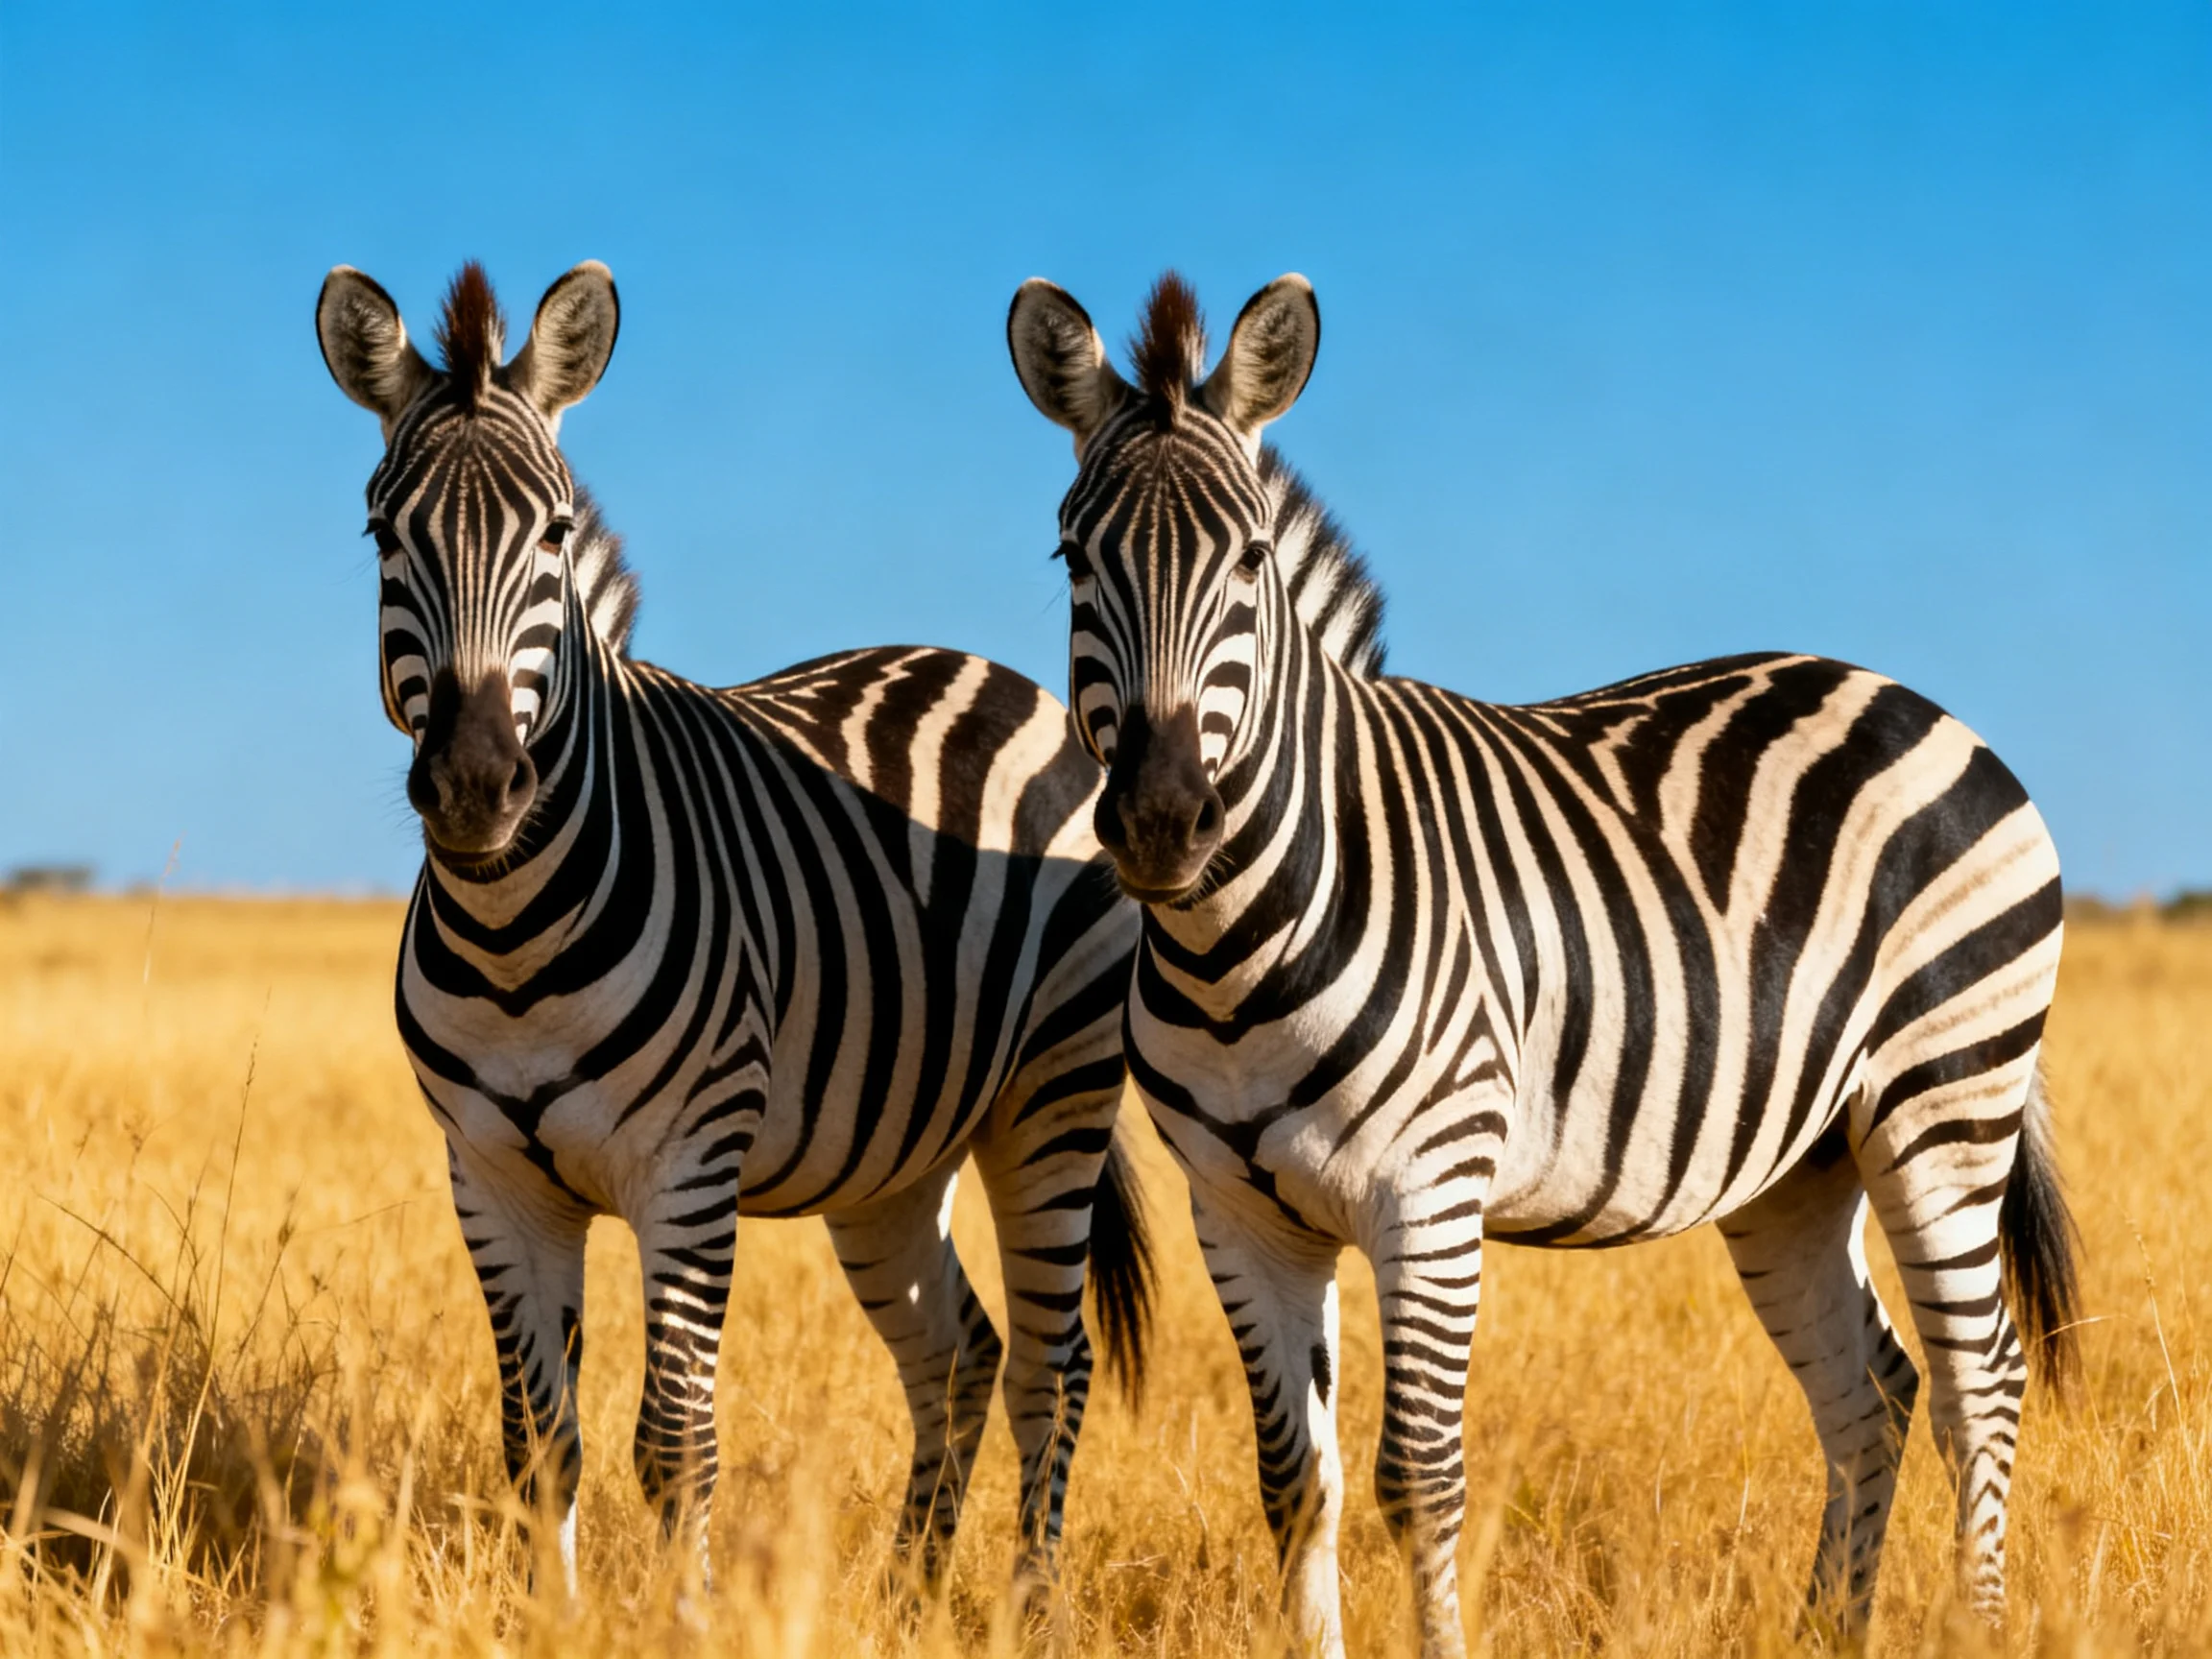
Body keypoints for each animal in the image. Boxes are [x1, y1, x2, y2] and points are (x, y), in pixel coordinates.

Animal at [314, 260, 1154, 1602]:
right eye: (385, 534)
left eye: (553, 534)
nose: (476, 786)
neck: (514, 940)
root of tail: (985, 672)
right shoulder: (492, 1181)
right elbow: (539, 1439)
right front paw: (555, 1616)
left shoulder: (690, 1168)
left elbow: (676, 1438)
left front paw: (685, 1612)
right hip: (895, 1155)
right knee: (958, 1349)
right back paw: (911, 1593)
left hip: (1054, 1093)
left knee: (1050, 1360)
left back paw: (1029, 1603)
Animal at [1006, 271, 2080, 1656]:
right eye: (1074, 559)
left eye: (1249, 560)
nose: (1157, 822)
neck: (1241, 950)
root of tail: (1922, 704)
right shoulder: (1240, 1216)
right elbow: (1297, 1485)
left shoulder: (1429, 1196)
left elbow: (1420, 1480)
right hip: (1802, 1163)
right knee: (1875, 1390)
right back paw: (1828, 1632)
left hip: (1945, 1100)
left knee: (1978, 1380)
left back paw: (1977, 1621)